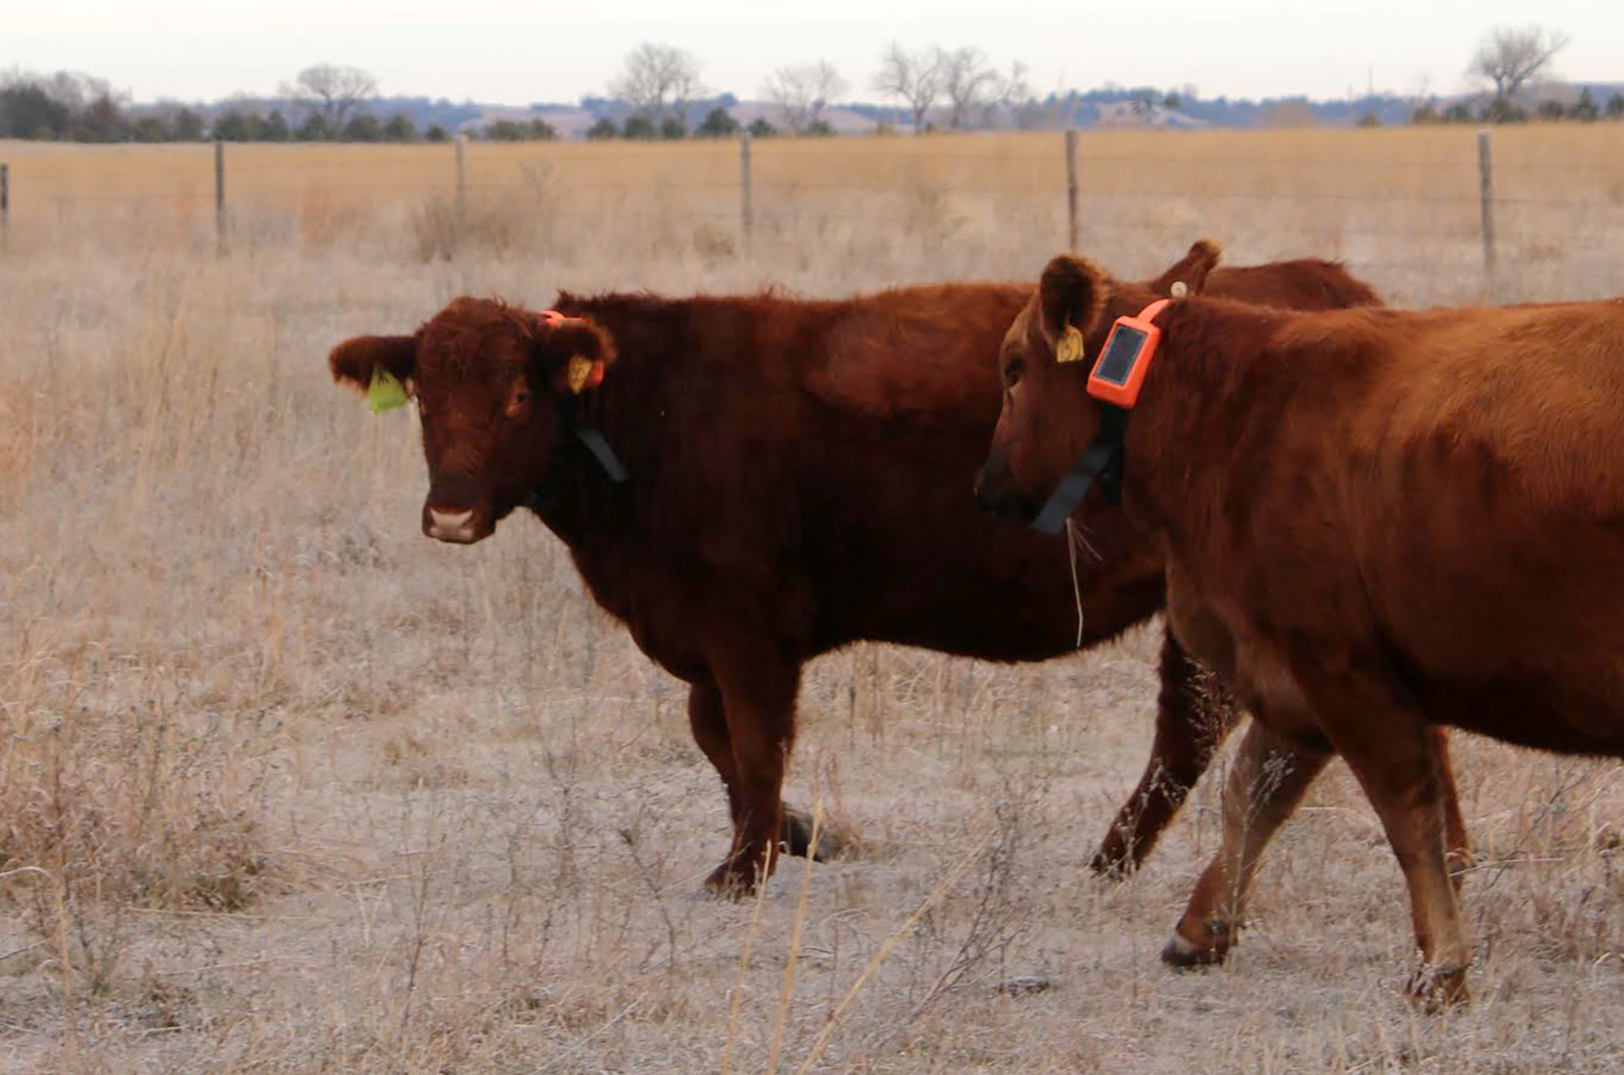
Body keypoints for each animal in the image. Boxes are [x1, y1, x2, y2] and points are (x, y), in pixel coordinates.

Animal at [325, 242, 1441, 897]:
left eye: (519, 395)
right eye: (423, 397)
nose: (451, 513)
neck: (652, 412)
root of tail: (1322, 282)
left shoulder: (748, 630)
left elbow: (754, 743)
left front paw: (746, 865)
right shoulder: (706, 638)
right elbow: (718, 743)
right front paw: (801, 835)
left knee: (1193, 728)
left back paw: (1113, 860)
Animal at [974, 249, 1624, 1006]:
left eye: (1014, 368)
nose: (986, 487)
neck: (1229, 412)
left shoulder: (1340, 664)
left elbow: (1409, 817)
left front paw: (1441, 967)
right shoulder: (1288, 673)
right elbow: (1253, 794)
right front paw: (1201, 929)